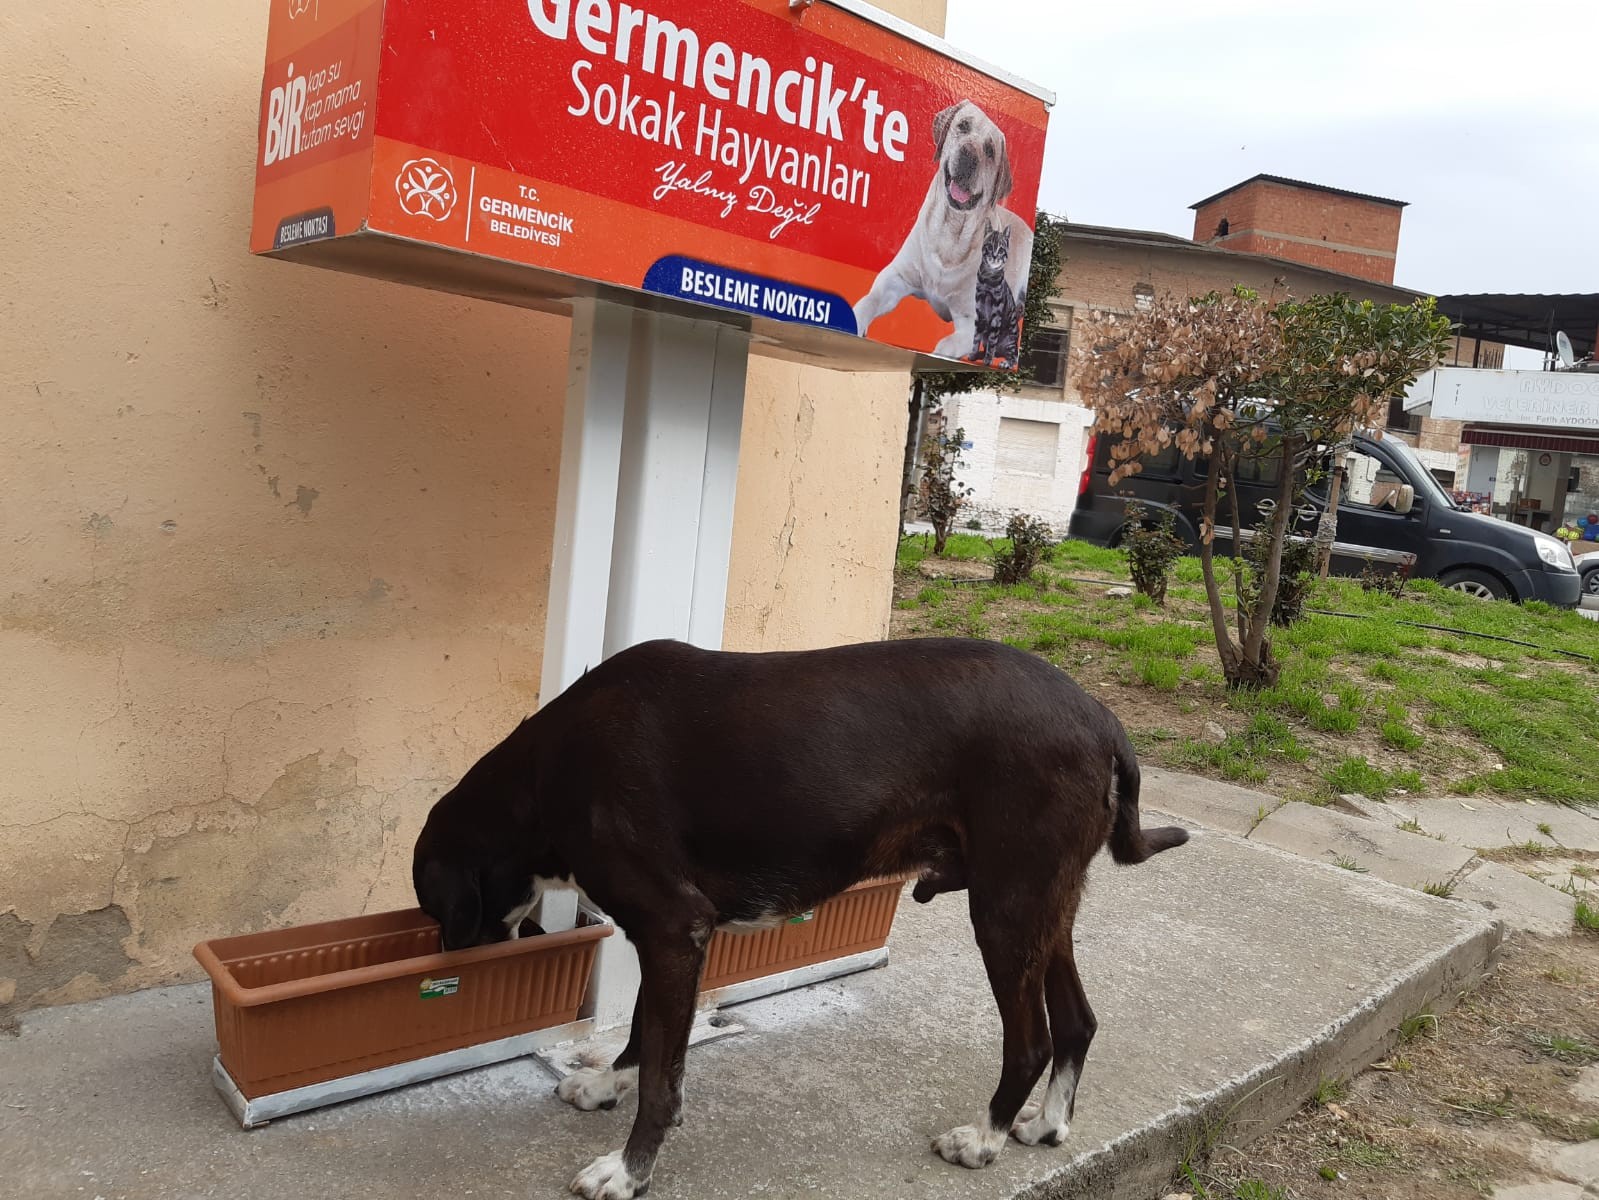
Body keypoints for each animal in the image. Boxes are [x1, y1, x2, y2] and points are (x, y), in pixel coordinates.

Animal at [412, 640, 1189, 1200]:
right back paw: (1048, 1123)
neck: (545, 774)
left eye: (437, 907)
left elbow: (664, 1072)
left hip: (1005, 907)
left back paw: (983, 1138)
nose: (454, 953)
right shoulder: (673, 938)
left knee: (1030, 1040)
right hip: (1044, 904)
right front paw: (610, 1083)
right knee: (1078, 1020)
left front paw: (628, 1171)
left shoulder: (673, 926)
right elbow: (645, 1033)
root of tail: (1101, 719)